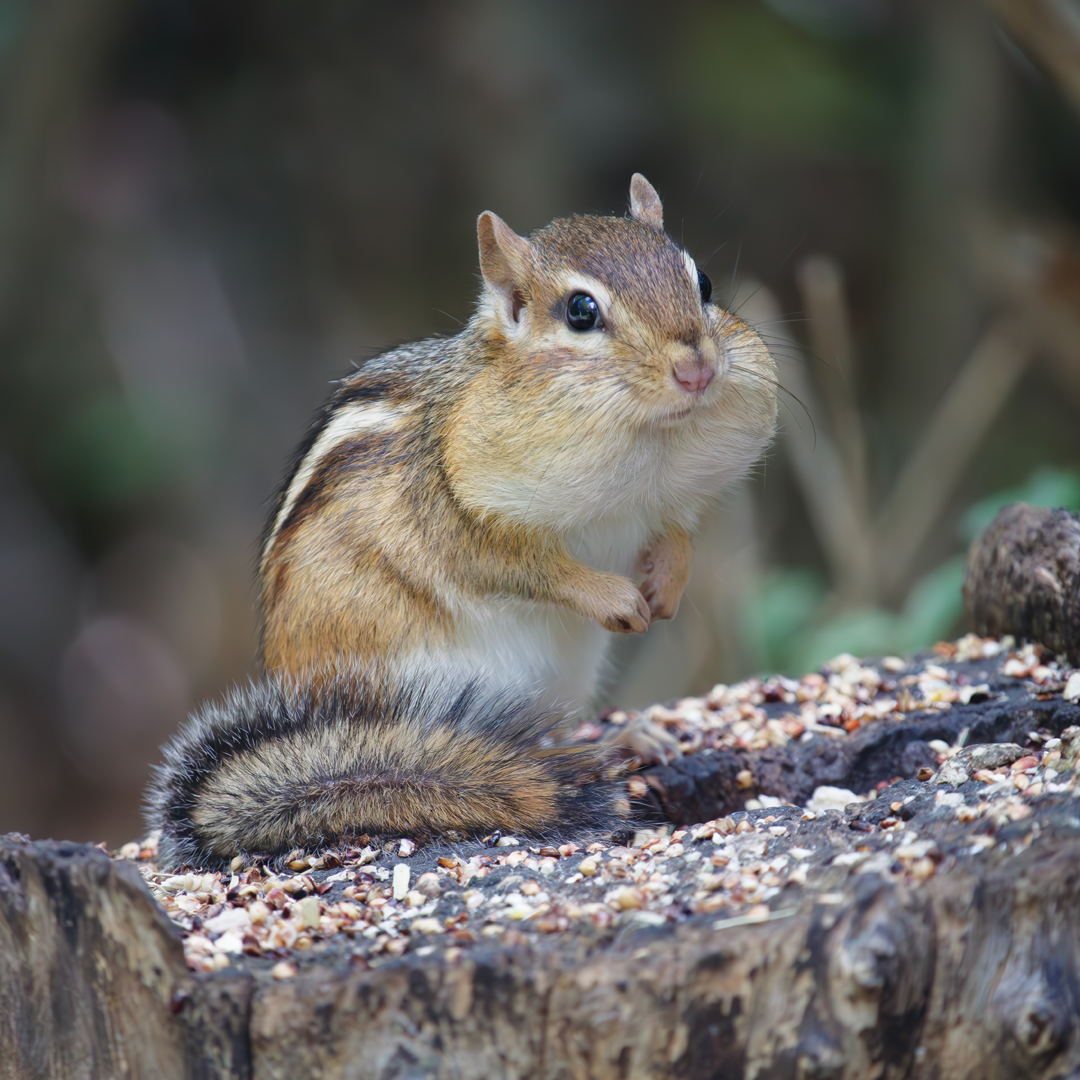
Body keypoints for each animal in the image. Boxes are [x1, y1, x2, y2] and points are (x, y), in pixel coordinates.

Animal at [147, 174, 777, 871]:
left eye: (705, 282)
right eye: (581, 312)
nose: (697, 368)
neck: (646, 447)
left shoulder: (663, 503)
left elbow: (676, 530)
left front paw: (668, 583)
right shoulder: (454, 515)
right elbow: (518, 565)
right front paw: (613, 596)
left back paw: (628, 740)